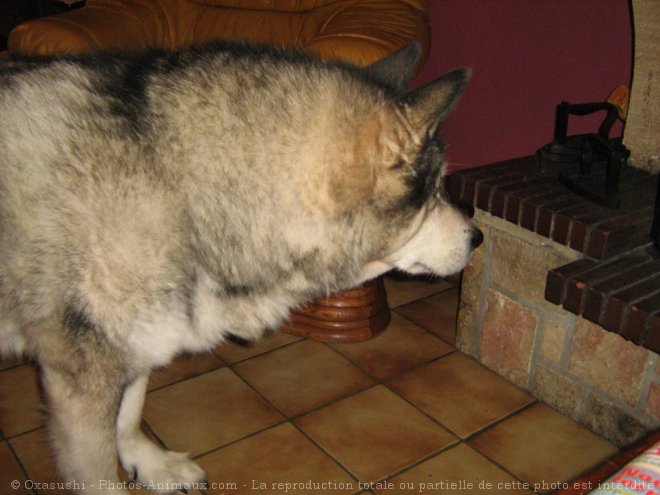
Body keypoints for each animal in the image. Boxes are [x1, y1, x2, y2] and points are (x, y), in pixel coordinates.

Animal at [1, 40, 480, 494]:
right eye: (435, 192)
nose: (478, 237)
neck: (176, 187)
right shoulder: (80, 382)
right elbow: (99, 472)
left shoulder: (142, 336)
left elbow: (131, 406)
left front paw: (146, 462)